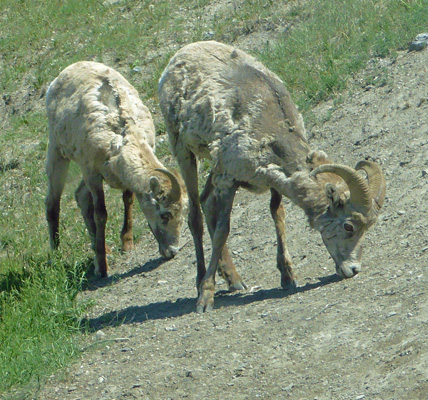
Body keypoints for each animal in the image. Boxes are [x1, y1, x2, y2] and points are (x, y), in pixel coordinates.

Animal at [46, 61, 188, 278]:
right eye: (165, 215)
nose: (172, 251)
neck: (122, 137)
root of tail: (66, 71)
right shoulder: (92, 173)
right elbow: (101, 214)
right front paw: (102, 269)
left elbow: (128, 200)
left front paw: (126, 244)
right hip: (57, 152)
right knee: (52, 203)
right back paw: (57, 257)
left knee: (80, 196)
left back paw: (103, 249)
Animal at [159, 42, 386, 314]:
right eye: (348, 226)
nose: (353, 270)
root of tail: (179, 55)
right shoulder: (228, 180)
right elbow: (223, 230)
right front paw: (206, 298)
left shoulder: (268, 182)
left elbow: (277, 214)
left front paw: (288, 277)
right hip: (183, 150)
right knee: (195, 215)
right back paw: (201, 282)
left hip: (212, 166)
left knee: (205, 202)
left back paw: (234, 280)